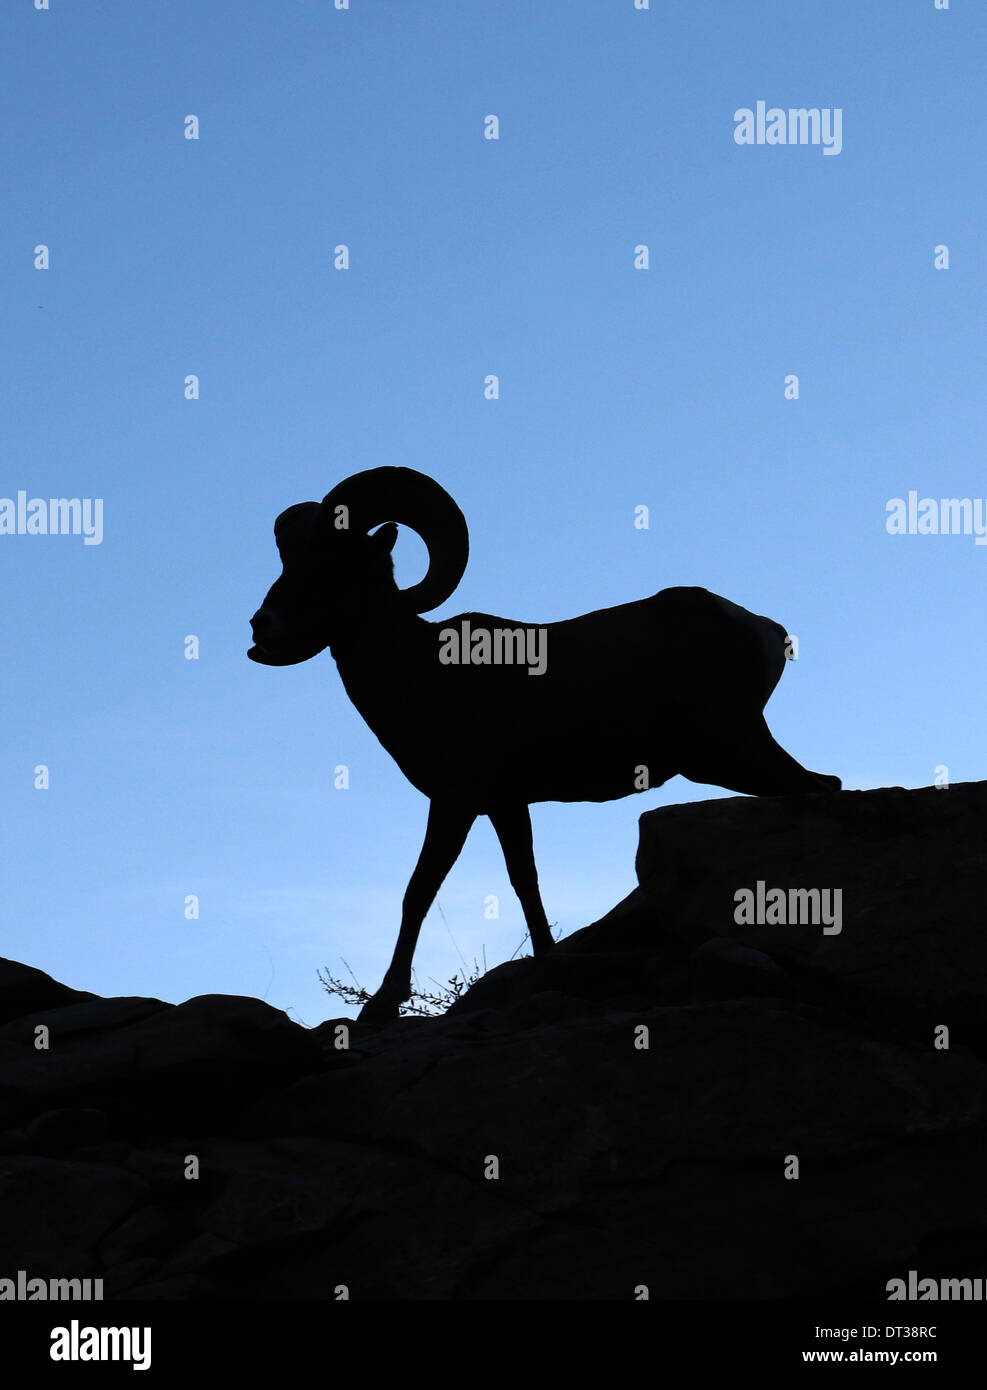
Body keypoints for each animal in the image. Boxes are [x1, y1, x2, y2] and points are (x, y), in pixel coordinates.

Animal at [248, 467, 845, 1023]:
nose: (261, 625)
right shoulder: (507, 805)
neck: (419, 669)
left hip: (733, 750)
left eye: (333, 561)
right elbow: (525, 884)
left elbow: (419, 890)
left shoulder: (456, 800)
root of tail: (764, 630)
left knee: (817, 789)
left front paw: (382, 1005)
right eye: (288, 559)